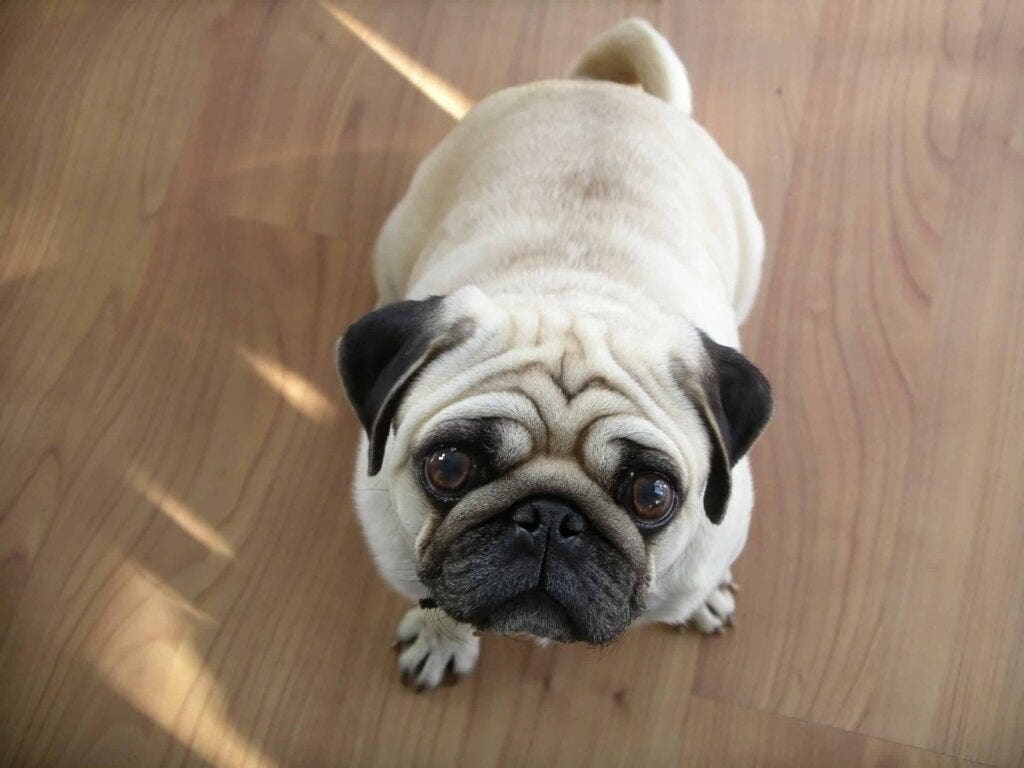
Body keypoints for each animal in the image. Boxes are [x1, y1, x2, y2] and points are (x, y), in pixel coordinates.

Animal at [333, 18, 770, 692]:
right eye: (449, 468)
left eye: (652, 496)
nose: (550, 518)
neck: (574, 288)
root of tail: (599, 91)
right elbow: (438, 600)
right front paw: (441, 635)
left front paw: (704, 597)